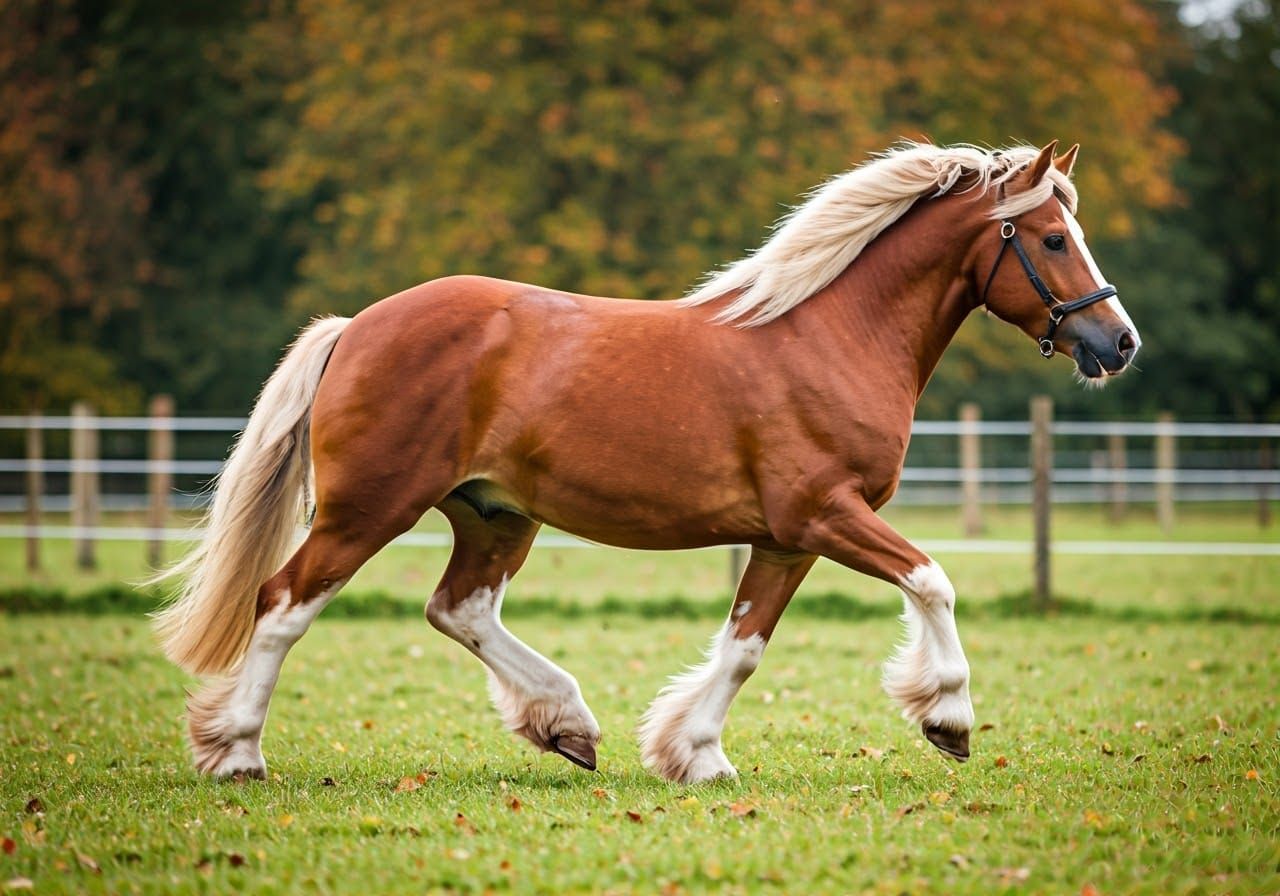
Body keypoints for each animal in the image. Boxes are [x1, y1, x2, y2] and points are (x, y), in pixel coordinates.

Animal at [153, 140, 1140, 784]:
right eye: (1052, 238)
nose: (1119, 342)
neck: (830, 335)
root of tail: (357, 325)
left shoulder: (788, 538)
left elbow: (744, 648)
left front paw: (693, 755)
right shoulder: (827, 513)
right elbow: (933, 581)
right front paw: (948, 717)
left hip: (494, 515)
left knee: (458, 609)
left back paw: (567, 724)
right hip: (371, 508)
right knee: (284, 604)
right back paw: (238, 752)